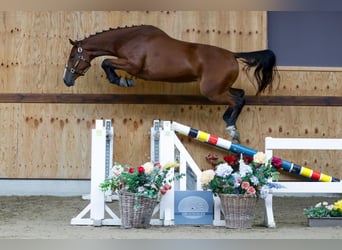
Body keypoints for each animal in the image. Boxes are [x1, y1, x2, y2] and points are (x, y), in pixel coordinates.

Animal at [63, 25, 278, 143]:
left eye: (73, 56)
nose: (66, 80)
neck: (131, 39)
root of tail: (232, 55)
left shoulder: (133, 65)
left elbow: (106, 62)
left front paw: (122, 81)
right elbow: (107, 63)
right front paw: (122, 80)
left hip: (211, 91)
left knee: (237, 100)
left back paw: (232, 128)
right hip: (218, 88)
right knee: (240, 95)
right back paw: (227, 120)